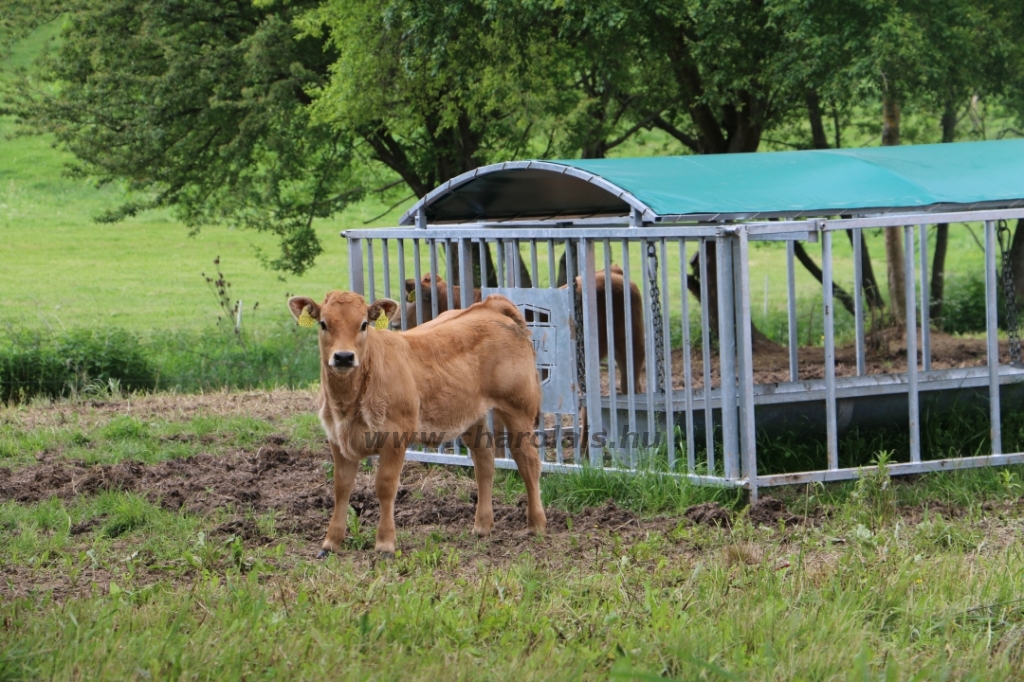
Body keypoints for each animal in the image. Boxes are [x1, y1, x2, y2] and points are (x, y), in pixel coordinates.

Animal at [288, 288, 544, 557]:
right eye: (323, 323)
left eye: (364, 324)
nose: (344, 357)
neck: (348, 402)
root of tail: (490, 306)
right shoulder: (337, 439)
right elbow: (341, 487)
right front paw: (331, 542)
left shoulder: (395, 438)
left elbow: (385, 485)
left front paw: (385, 543)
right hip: (473, 416)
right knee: (484, 462)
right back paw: (482, 526)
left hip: (519, 409)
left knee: (527, 461)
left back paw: (536, 524)